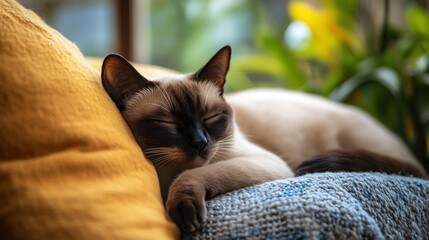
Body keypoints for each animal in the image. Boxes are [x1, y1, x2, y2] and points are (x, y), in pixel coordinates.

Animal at [100, 45, 424, 234]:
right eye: (168, 123)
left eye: (209, 118)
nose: (200, 143)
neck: (165, 177)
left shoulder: (268, 163)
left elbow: (193, 175)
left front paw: (185, 214)